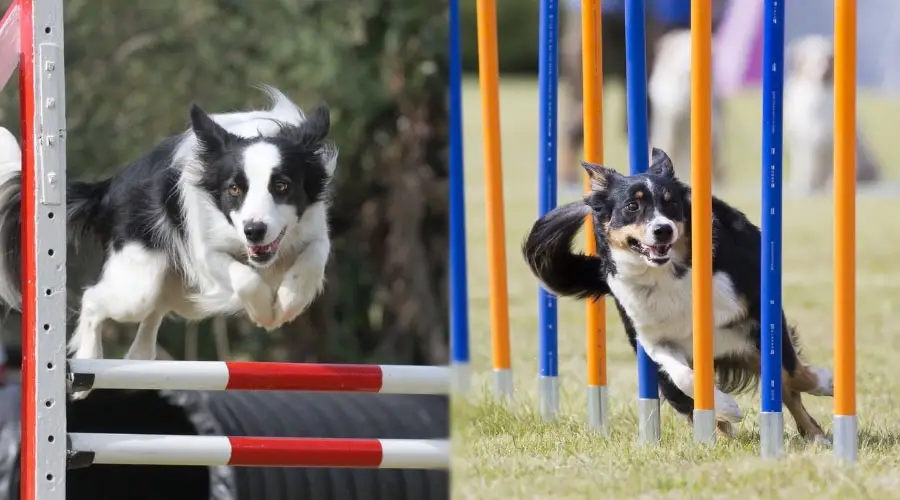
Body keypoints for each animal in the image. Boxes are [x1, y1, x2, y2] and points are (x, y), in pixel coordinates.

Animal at [524, 147, 832, 442]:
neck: (666, 276)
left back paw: (816, 434)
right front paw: (726, 407)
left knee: (786, 387)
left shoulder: (756, 307)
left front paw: (823, 381)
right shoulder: (654, 339)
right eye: (632, 206)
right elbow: (684, 378)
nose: (663, 229)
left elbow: (790, 371)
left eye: (670, 203)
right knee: (685, 399)